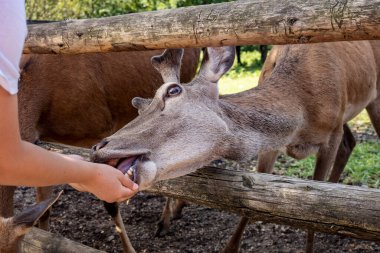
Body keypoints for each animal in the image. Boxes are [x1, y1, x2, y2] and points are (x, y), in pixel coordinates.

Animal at [0, 48, 200, 252]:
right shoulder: (43, 139)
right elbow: (44, 203)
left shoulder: (101, 128)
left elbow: (109, 202)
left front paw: (130, 249)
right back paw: (176, 210)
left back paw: (164, 223)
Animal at [91, 40, 380, 252]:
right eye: (140, 106)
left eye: (173, 91)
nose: (98, 147)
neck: (302, 109)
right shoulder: (271, 145)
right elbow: (255, 196)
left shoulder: (331, 133)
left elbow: (316, 205)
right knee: (351, 142)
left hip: (372, 99)